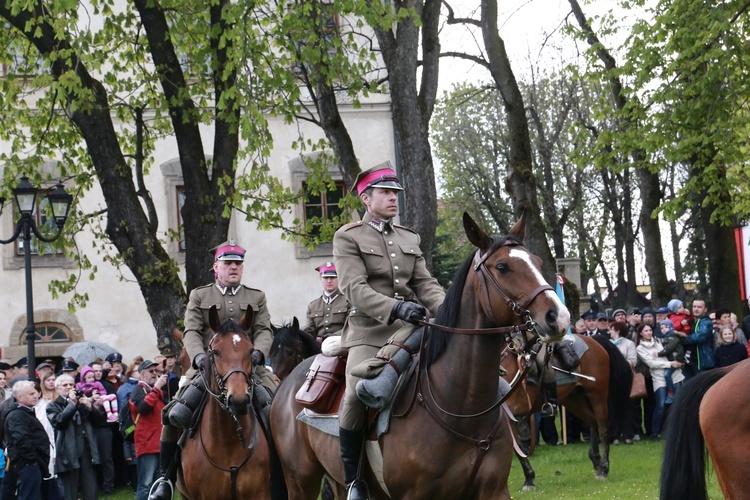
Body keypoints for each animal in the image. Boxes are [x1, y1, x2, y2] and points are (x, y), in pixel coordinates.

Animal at [270, 213, 568, 498]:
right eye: (503, 267)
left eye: (537, 262)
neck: (461, 409)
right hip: (300, 481)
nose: (558, 317)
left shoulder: (494, 491)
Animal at [502, 332, 632, 488]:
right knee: (592, 422)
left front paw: (529, 479)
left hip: (597, 395)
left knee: (603, 428)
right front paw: (529, 479)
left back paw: (604, 468)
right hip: (573, 399)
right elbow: (518, 448)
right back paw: (596, 462)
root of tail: (594, 340)